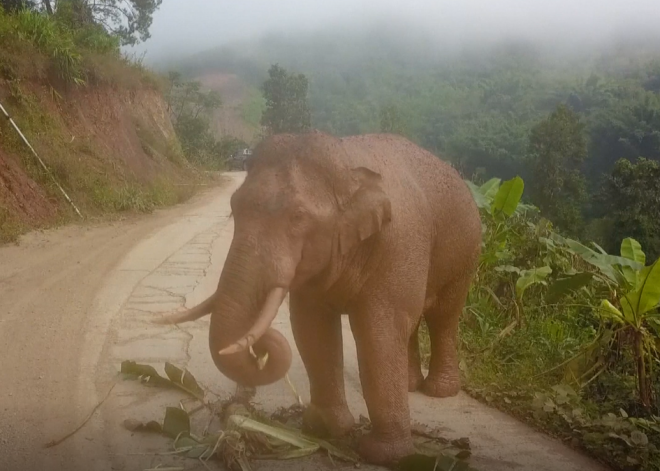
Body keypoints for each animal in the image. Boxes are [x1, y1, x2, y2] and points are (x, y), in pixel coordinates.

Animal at [157, 131, 482, 466]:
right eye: (234, 206)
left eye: (298, 217)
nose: (258, 345)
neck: (346, 161)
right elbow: (311, 327)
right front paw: (323, 430)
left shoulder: (398, 245)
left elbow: (377, 331)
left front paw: (384, 455)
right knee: (414, 321)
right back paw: (409, 385)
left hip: (466, 252)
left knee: (442, 316)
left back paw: (439, 391)